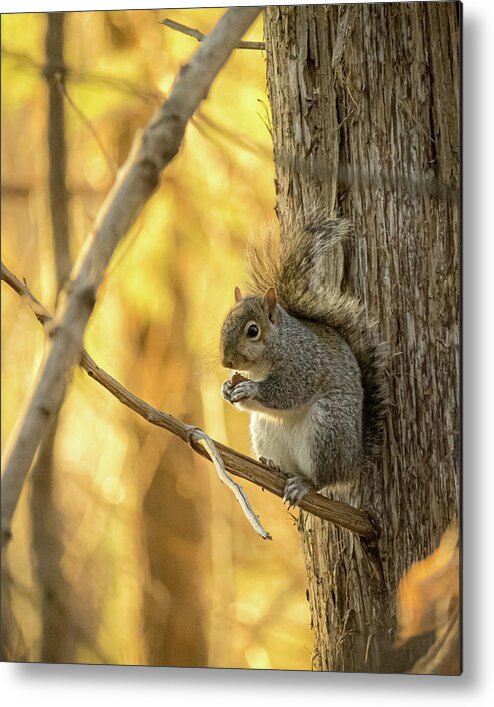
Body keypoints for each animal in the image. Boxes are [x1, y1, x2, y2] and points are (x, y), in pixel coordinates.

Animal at [219, 210, 386, 508]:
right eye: (225, 322)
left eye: (253, 331)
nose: (226, 363)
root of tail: (354, 461)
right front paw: (227, 388)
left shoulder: (303, 363)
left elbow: (289, 391)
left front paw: (251, 388)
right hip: (265, 430)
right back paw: (271, 464)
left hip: (328, 426)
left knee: (324, 479)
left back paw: (305, 484)